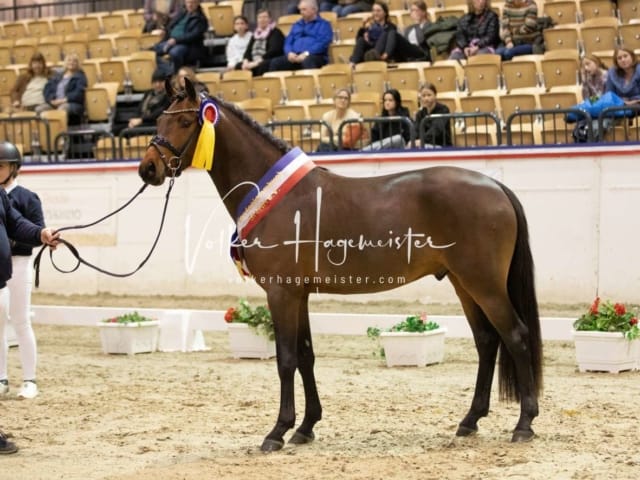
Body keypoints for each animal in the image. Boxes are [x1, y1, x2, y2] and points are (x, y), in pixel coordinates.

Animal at [139, 78, 540, 450]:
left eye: (186, 121)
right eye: (159, 119)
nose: (148, 169)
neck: (274, 195)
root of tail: (494, 186)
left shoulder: (281, 293)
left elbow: (286, 359)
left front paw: (277, 431)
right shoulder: (298, 295)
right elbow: (305, 355)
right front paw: (305, 427)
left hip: (484, 284)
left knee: (516, 337)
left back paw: (524, 424)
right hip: (463, 283)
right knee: (487, 341)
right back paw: (470, 420)